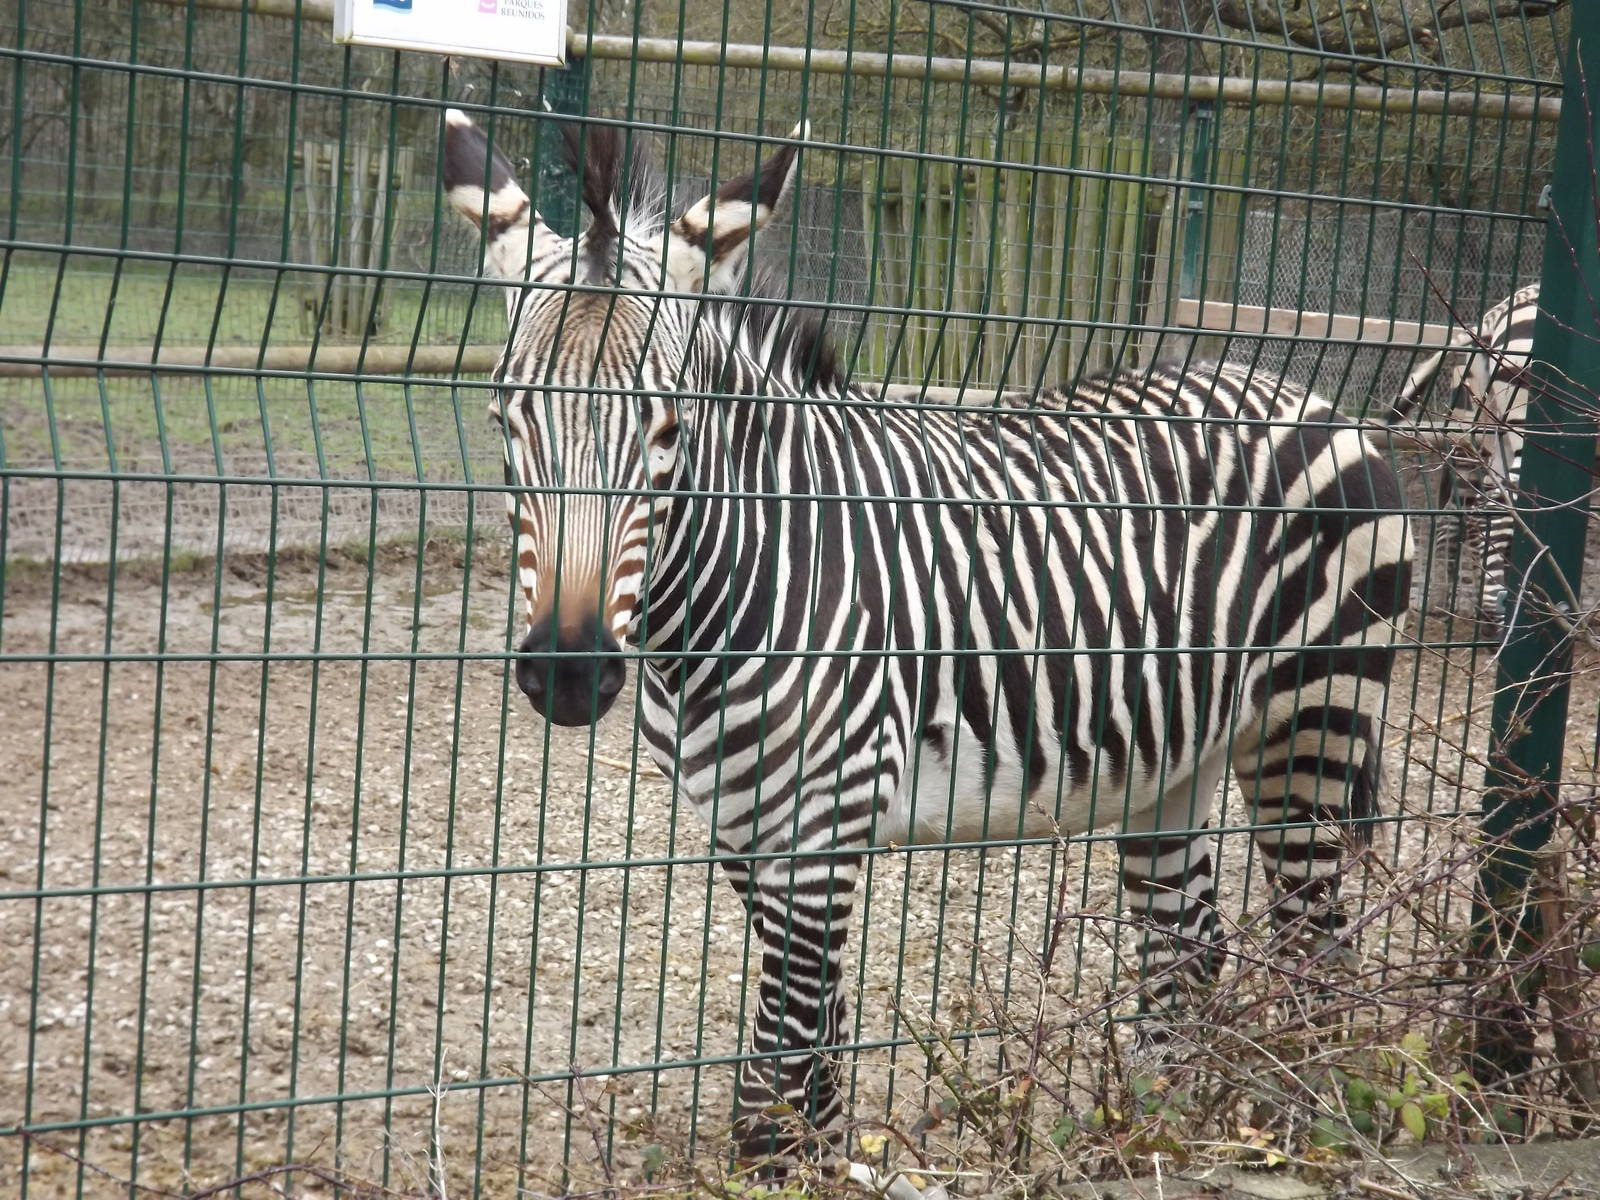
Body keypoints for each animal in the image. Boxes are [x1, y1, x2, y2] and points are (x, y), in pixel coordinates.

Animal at [441, 109, 1413, 1165]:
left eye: (668, 431)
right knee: (1187, 952)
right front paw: (827, 1160)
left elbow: (774, 1077)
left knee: (1317, 944)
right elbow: (812, 1056)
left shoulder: (823, 822)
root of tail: (1300, 391)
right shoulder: (742, 828)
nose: (568, 674)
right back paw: (1160, 1133)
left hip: (1311, 727)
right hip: (1177, 758)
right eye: (504, 417)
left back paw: (1305, 1130)